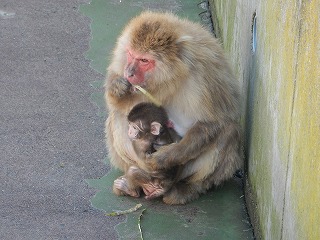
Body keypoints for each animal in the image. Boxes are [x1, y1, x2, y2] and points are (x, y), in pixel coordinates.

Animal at [105, 11, 242, 204]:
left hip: (181, 173)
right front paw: (116, 86)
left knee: (229, 130)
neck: (173, 75)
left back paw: (187, 187)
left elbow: (214, 122)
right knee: (118, 114)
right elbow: (119, 103)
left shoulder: (205, 74)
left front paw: (164, 158)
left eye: (144, 60)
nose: (129, 72)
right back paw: (135, 183)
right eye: (131, 54)